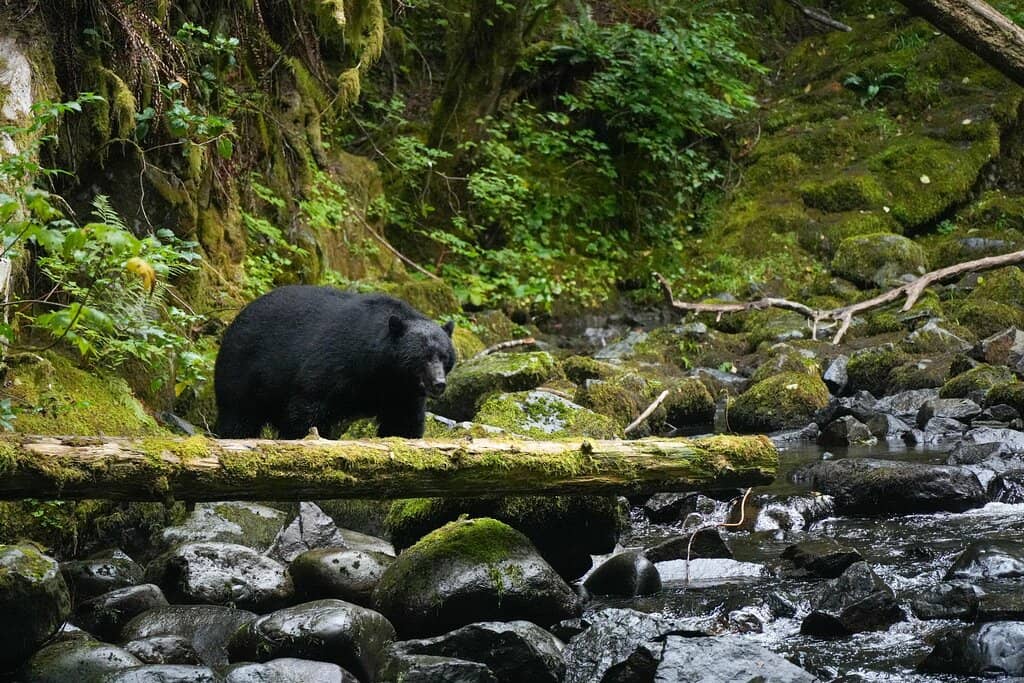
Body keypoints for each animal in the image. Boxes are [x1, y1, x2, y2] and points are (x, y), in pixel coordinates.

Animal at [214, 286, 456, 439]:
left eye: (444, 356)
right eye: (423, 356)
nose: (439, 384)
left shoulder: (402, 392)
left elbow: (402, 421)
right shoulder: (335, 361)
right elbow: (309, 406)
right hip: (244, 369)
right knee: (238, 415)